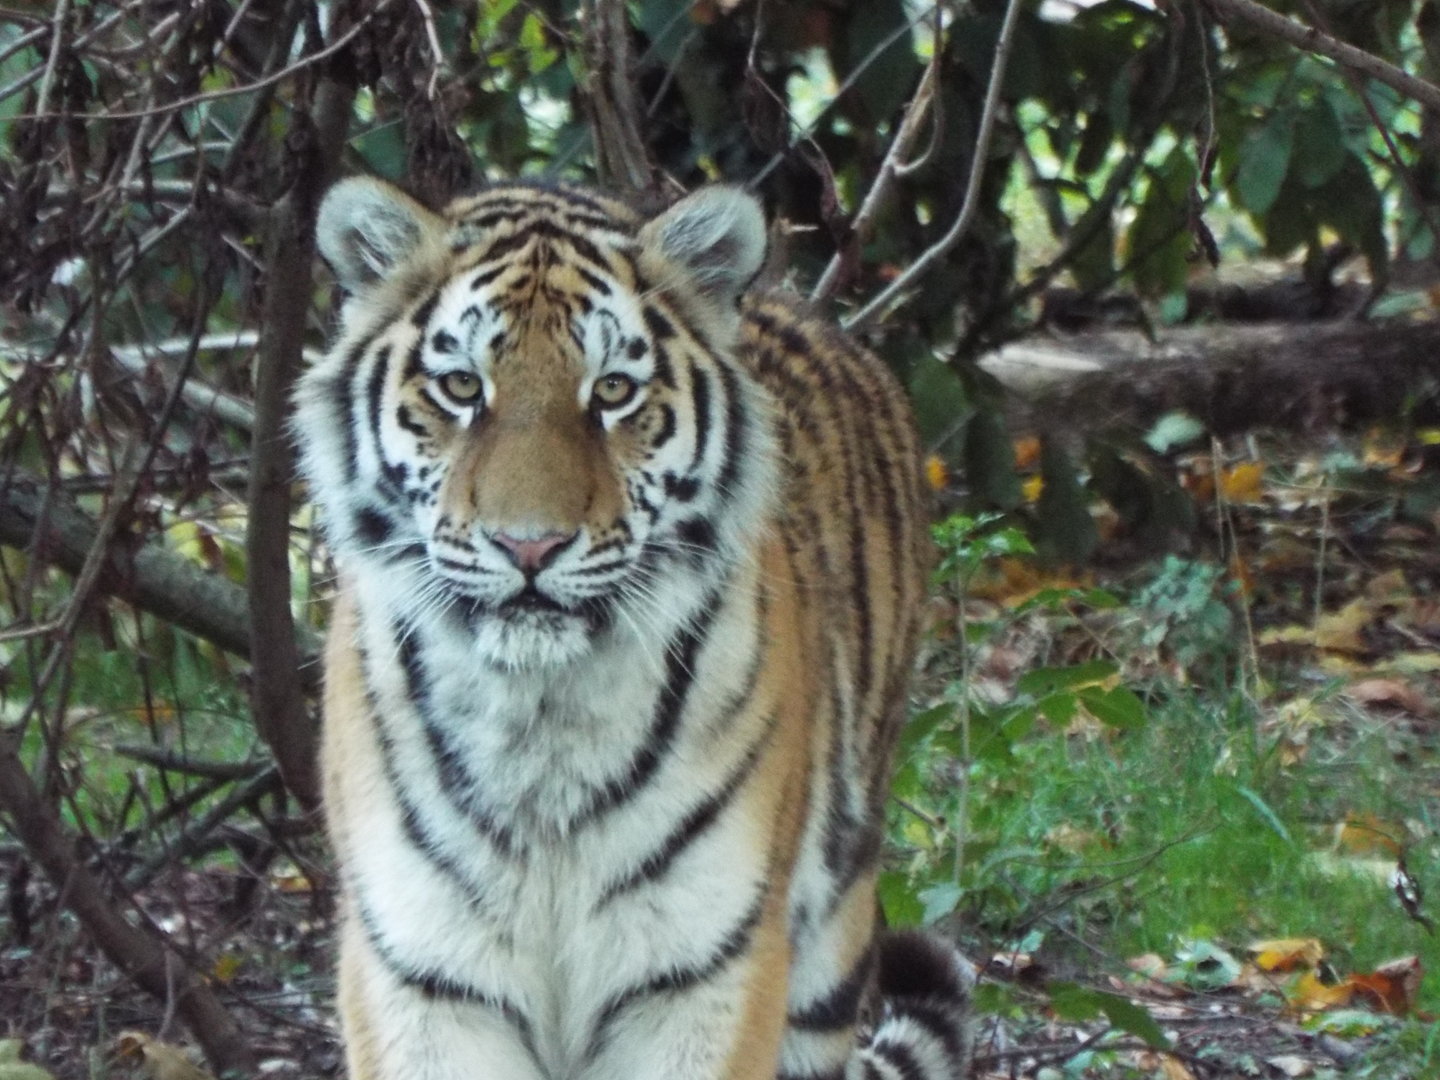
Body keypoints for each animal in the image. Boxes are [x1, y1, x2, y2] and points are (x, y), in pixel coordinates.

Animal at [294, 174, 973, 1080]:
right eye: (462, 387)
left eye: (613, 391)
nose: (529, 544)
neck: (539, 718)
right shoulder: (423, 975)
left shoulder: (703, 972)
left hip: (835, 921)